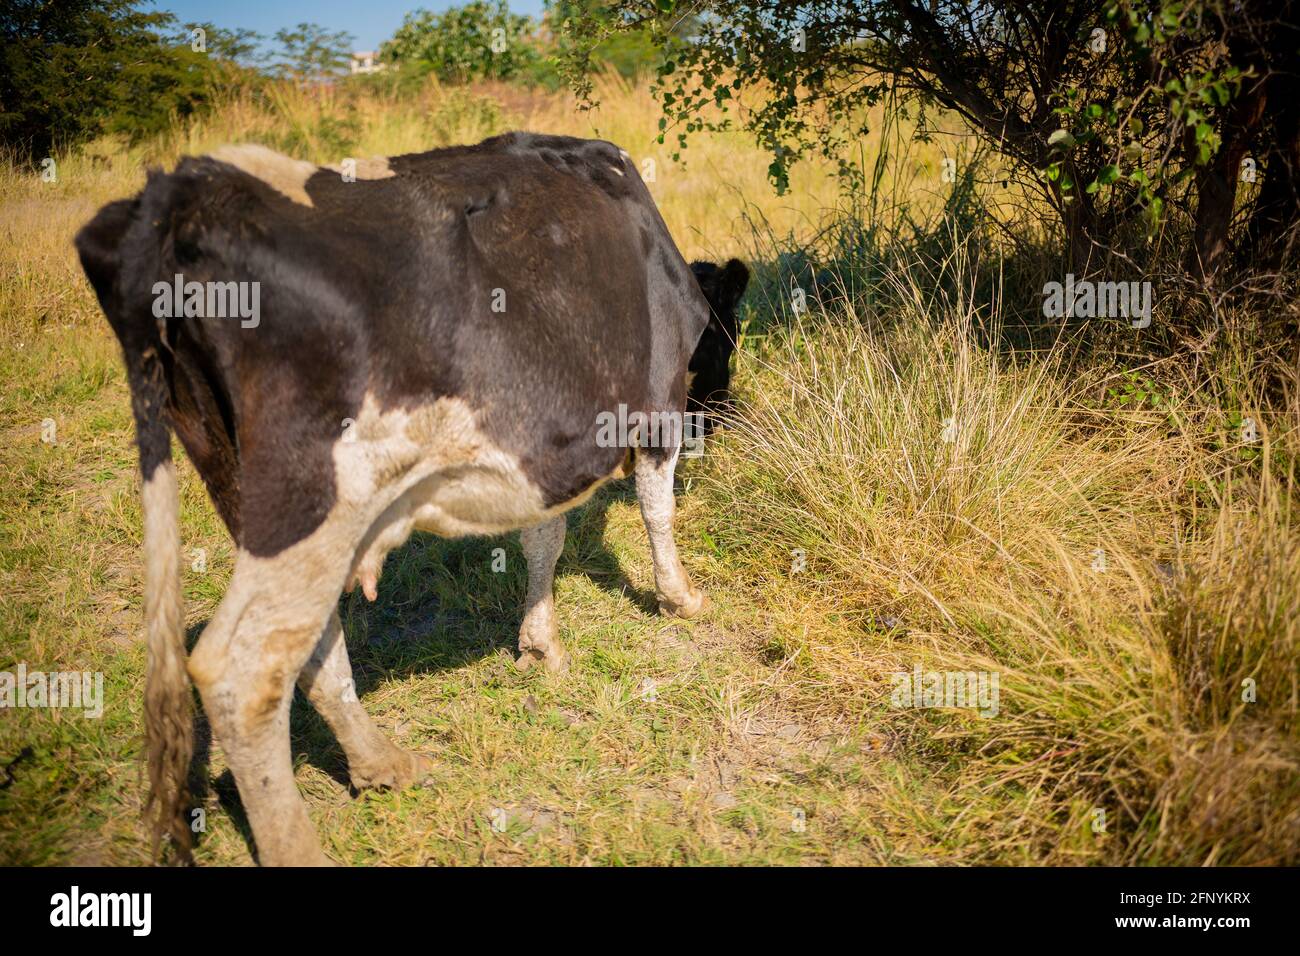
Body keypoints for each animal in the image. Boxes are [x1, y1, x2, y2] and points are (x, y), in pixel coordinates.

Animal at [75, 133, 740, 866]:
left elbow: (544, 535)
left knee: (306, 640)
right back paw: (299, 843)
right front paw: (679, 596)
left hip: (244, 484)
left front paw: (539, 645)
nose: (725, 417)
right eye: (727, 343)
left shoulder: (551, 444)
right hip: (316, 493)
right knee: (241, 671)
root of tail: (179, 195)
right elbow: (655, 506)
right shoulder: (655, 400)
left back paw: (380, 763)